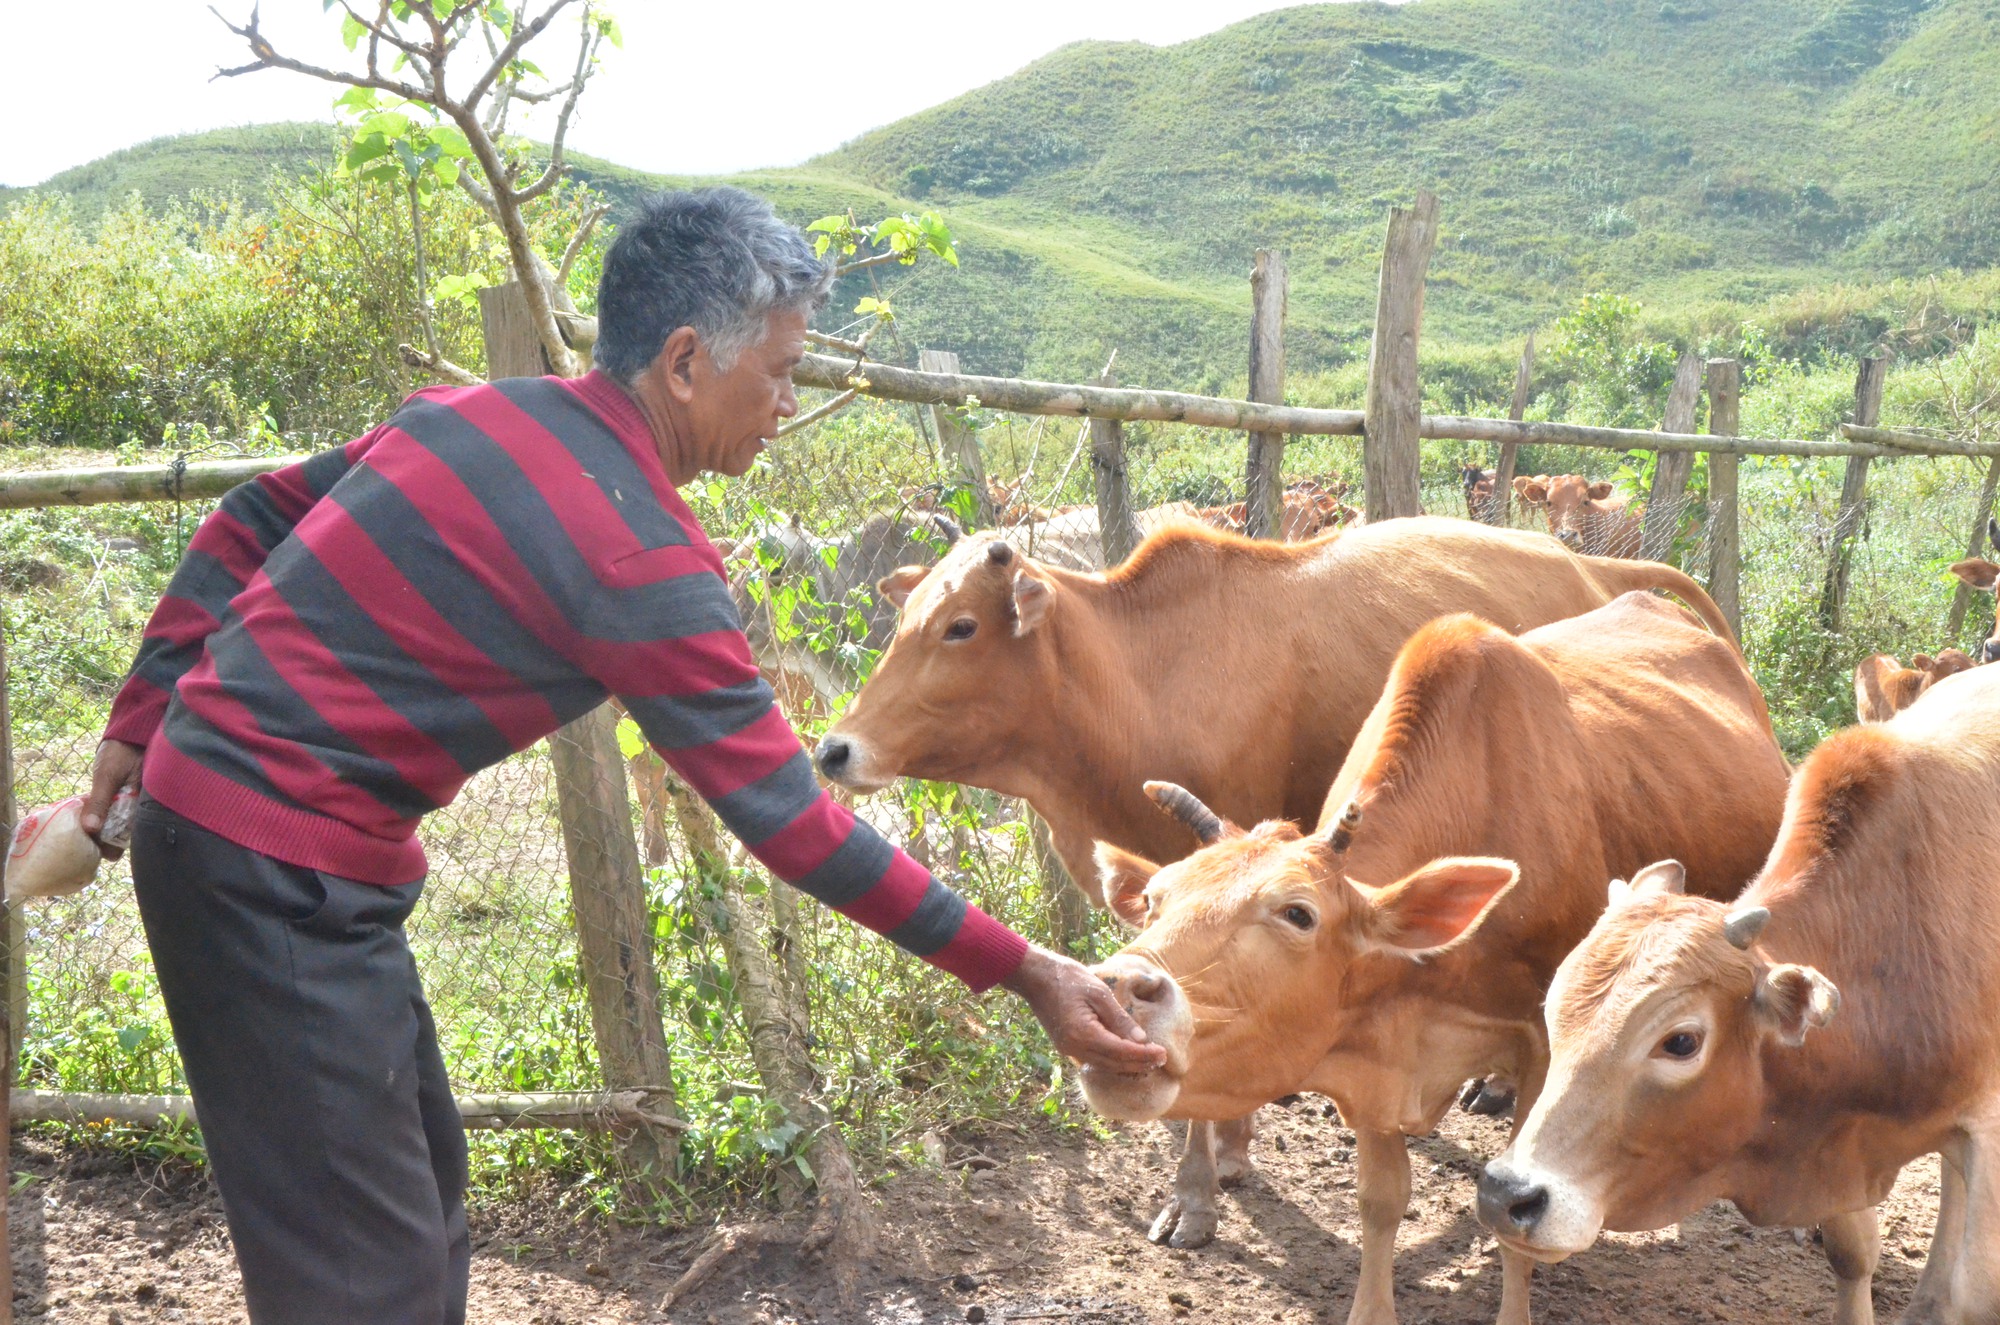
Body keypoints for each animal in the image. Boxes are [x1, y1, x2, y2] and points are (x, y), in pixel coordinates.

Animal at [1080, 592, 1784, 1325]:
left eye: (1298, 912)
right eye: (1154, 899)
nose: (1112, 990)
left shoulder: (1545, 1047)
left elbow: (1514, 1216)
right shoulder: (1368, 1053)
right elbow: (1381, 1201)